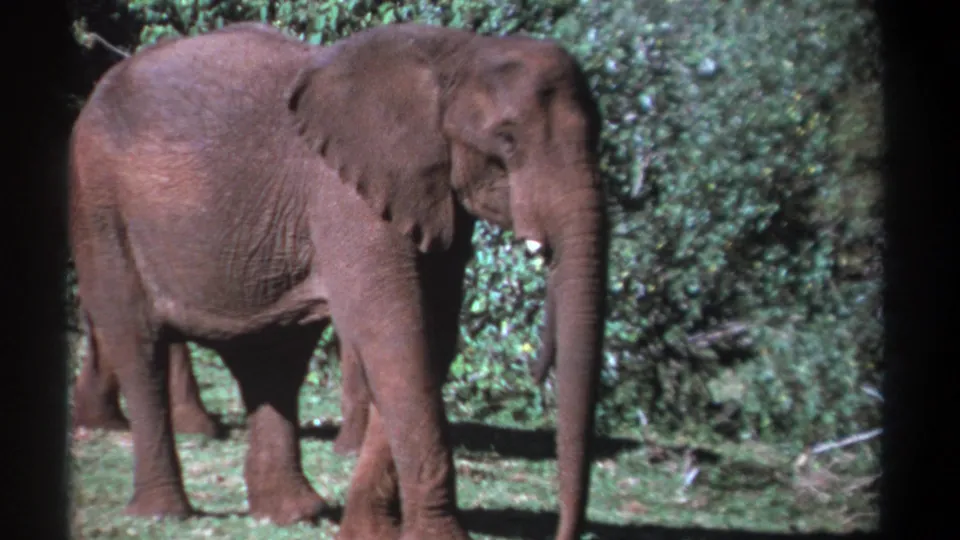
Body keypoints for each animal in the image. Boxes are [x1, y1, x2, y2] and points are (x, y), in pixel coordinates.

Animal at [69, 21, 608, 540]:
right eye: (507, 140)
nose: (565, 532)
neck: (457, 54)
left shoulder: (435, 198)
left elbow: (429, 341)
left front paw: (365, 530)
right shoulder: (345, 195)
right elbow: (395, 335)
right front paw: (431, 537)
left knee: (271, 361)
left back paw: (292, 515)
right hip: (99, 206)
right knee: (138, 343)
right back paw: (164, 513)